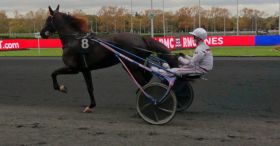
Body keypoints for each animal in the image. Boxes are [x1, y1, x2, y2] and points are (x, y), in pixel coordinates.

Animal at [39, 4, 177, 112]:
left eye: (48, 19)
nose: (41, 33)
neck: (73, 40)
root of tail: (141, 38)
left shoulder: (74, 68)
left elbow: (53, 73)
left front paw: (62, 88)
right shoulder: (85, 69)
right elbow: (90, 87)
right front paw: (91, 105)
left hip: (130, 65)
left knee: (143, 81)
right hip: (136, 63)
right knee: (147, 76)